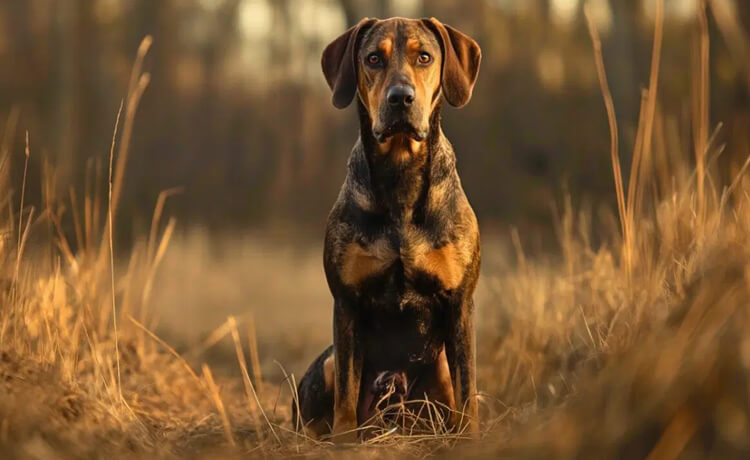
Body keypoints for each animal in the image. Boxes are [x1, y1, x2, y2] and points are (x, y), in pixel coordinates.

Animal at [294, 17, 482, 442]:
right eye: (373, 58)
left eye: (424, 57)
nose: (400, 98)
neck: (400, 175)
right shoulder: (346, 302)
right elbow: (346, 390)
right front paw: (344, 441)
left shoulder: (460, 303)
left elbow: (467, 384)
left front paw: (470, 436)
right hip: (326, 365)